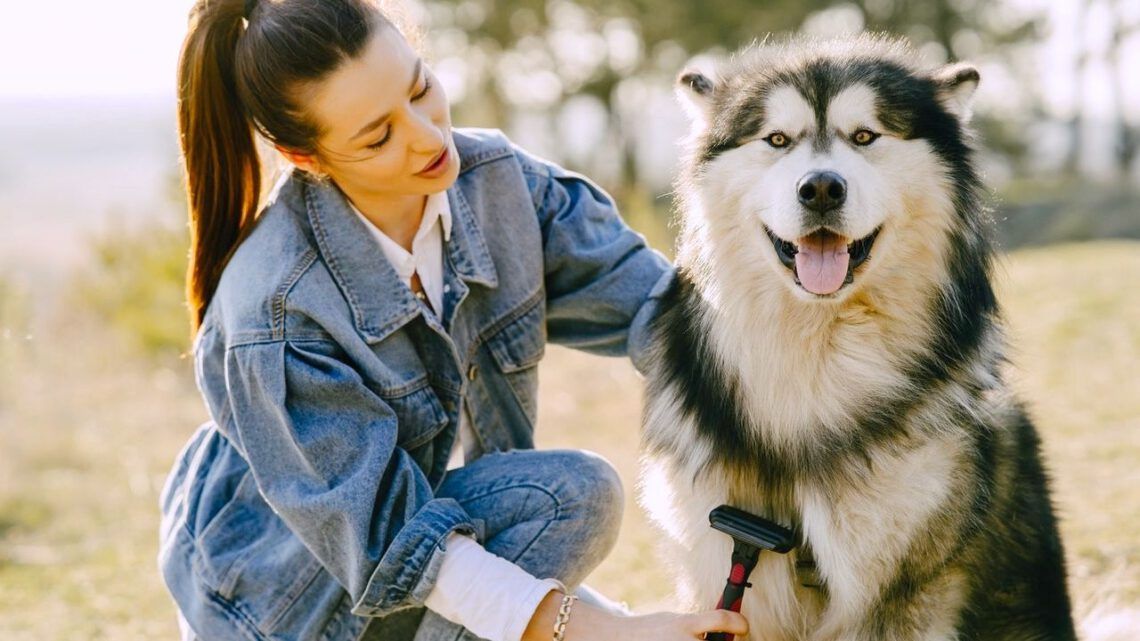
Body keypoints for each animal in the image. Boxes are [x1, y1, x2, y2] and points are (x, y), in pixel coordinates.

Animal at [642, 36, 1076, 638]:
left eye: (865, 136)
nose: (821, 187)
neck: (820, 353)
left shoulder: (899, 591)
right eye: (777, 139)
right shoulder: (727, 570)